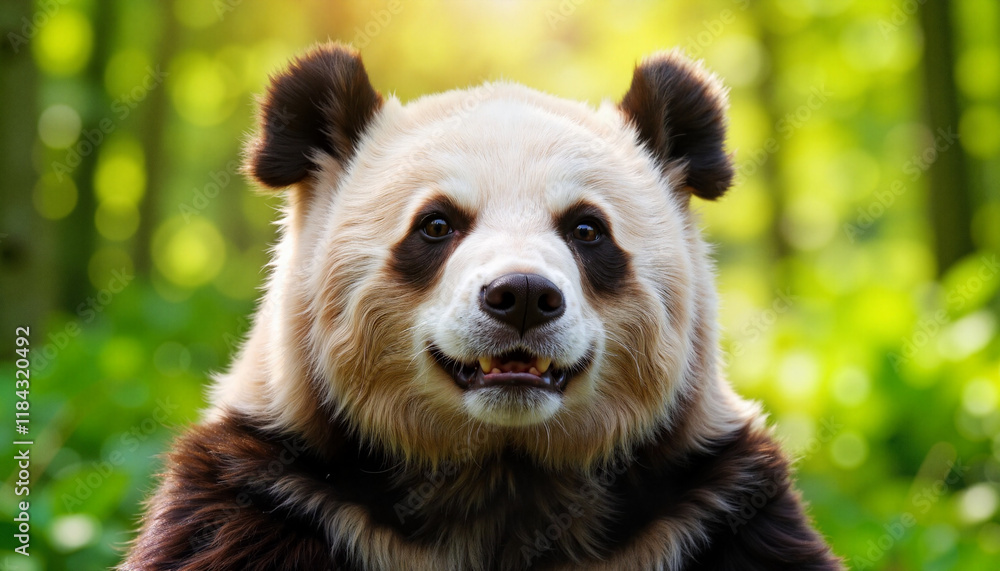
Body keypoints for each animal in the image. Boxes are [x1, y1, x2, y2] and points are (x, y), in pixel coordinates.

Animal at [121, 43, 841, 570]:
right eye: (437, 225)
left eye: (587, 229)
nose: (521, 295)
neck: (502, 476)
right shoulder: (277, 497)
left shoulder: (708, 511)